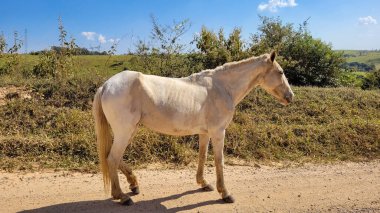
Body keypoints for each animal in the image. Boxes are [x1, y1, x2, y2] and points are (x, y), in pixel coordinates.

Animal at [93, 51, 294, 205]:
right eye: (281, 72)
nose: (290, 96)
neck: (222, 88)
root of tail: (106, 85)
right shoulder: (218, 132)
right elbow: (219, 161)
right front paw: (225, 193)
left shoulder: (205, 133)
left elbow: (202, 157)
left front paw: (204, 183)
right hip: (125, 131)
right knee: (112, 158)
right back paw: (122, 196)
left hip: (129, 130)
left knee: (113, 158)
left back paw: (133, 185)